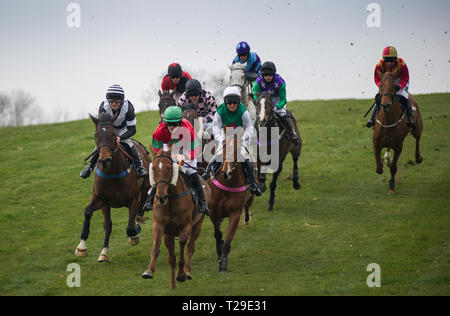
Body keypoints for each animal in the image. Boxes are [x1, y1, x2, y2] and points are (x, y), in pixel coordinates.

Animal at [74, 113, 150, 262]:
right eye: (96, 135)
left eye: (113, 135)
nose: (104, 160)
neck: (113, 173)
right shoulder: (101, 200)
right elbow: (90, 214)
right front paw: (83, 248)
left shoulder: (133, 200)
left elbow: (130, 227)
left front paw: (134, 235)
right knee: (108, 225)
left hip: (145, 189)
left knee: (140, 210)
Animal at [142, 148, 207, 288]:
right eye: (153, 167)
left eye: (168, 167)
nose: (161, 197)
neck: (171, 198)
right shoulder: (159, 224)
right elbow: (156, 247)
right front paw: (149, 271)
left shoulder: (186, 225)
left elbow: (183, 242)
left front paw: (181, 274)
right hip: (169, 232)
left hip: (198, 223)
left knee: (191, 246)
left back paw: (187, 271)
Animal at [206, 135, 255, 272]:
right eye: (223, 148)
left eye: (236, 151)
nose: (226, 173)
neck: (228, 184)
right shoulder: (214, 212)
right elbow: (218, 234)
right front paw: (219, 253)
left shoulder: (235, 213)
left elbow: (227, 241)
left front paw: (223, 264)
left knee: (248, 205)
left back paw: (247, 218)